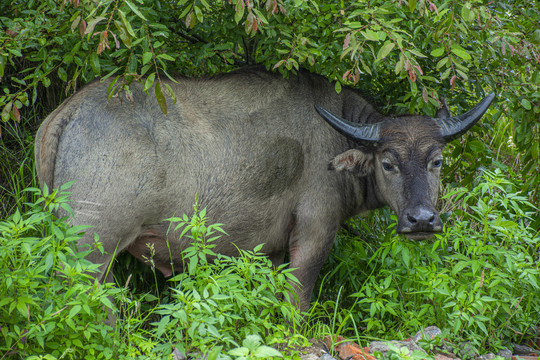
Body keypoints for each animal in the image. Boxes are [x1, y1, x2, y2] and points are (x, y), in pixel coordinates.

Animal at [34, 69, 494, 310]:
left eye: (437, 161)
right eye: (388, 163)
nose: (422, 220)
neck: (335, 139)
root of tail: (69, 110)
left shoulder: (270, 248)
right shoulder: (314, 231)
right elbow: (298, 298)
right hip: (91, 250)